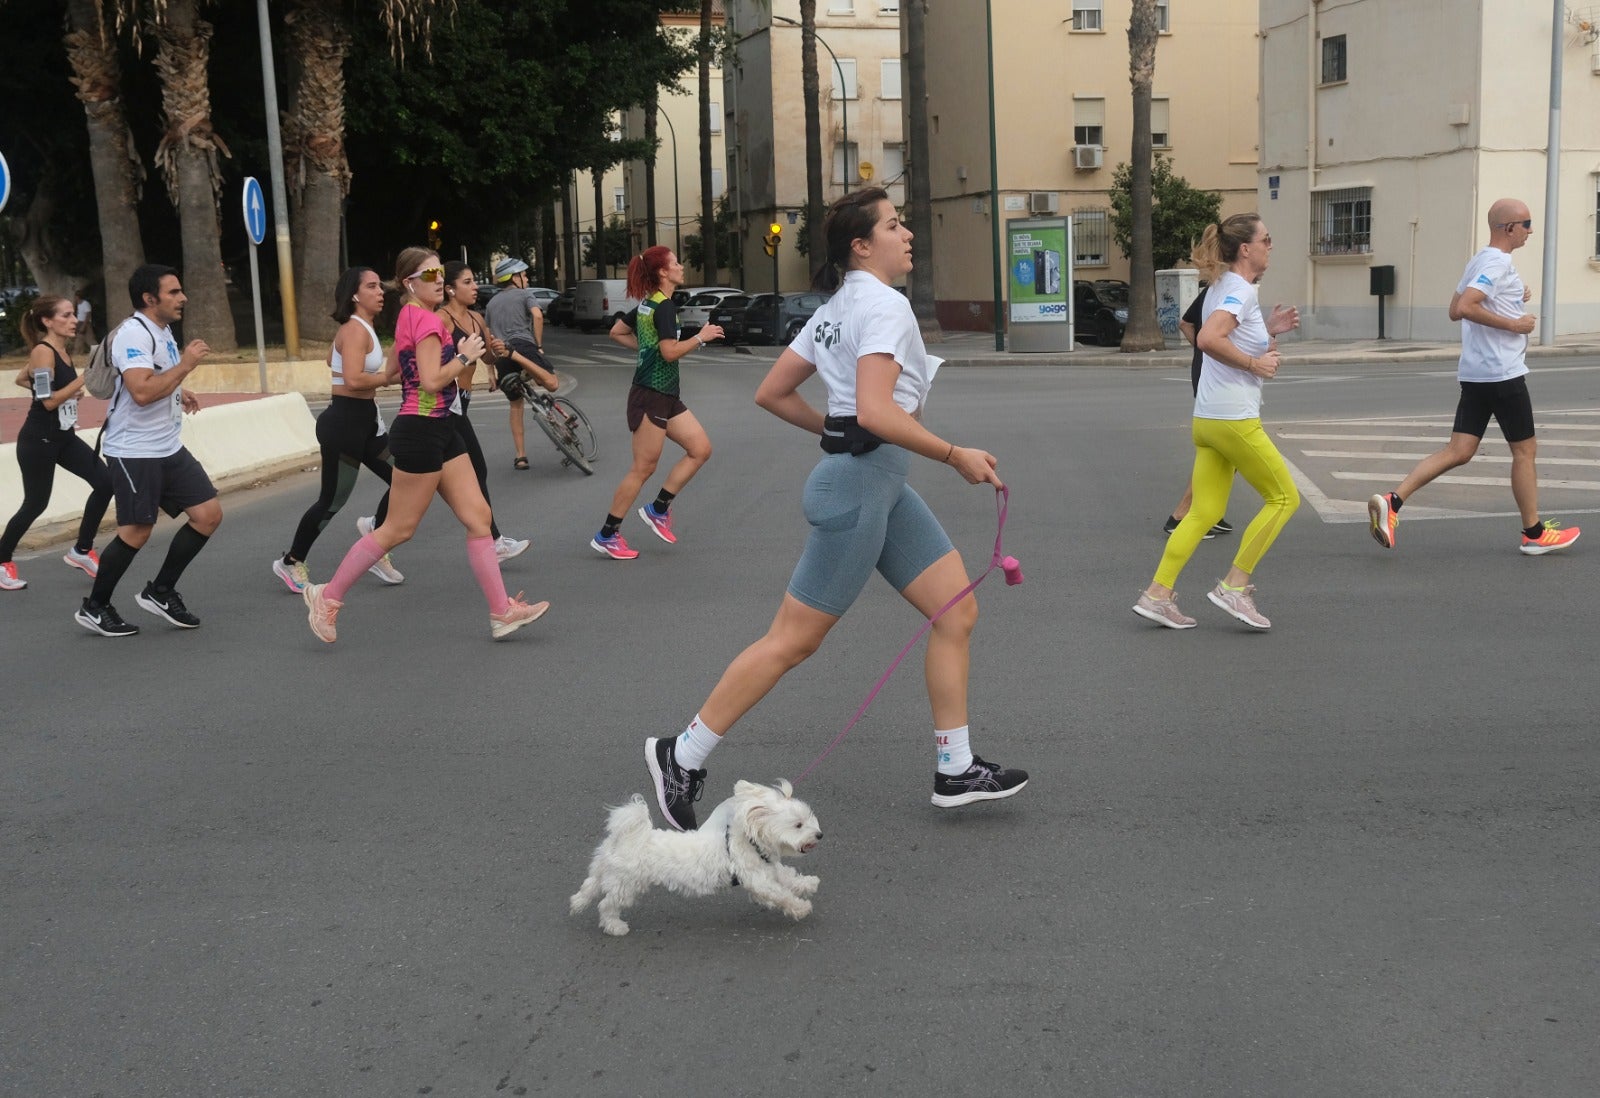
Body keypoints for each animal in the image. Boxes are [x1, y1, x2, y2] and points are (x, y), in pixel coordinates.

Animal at [572, 784, 825, 934]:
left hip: (606, 871)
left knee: (590, 885)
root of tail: (625, 837)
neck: (748, 842)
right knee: (606, 904)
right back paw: (615, 926)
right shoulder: (758, 881)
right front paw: (801, 907)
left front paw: (808, 883)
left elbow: (787, 876)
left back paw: (577, 902)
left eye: (810, 817)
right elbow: (781, 894)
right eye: (798, 825)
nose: (819, 835)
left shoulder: (766, 871)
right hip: (626, 884)